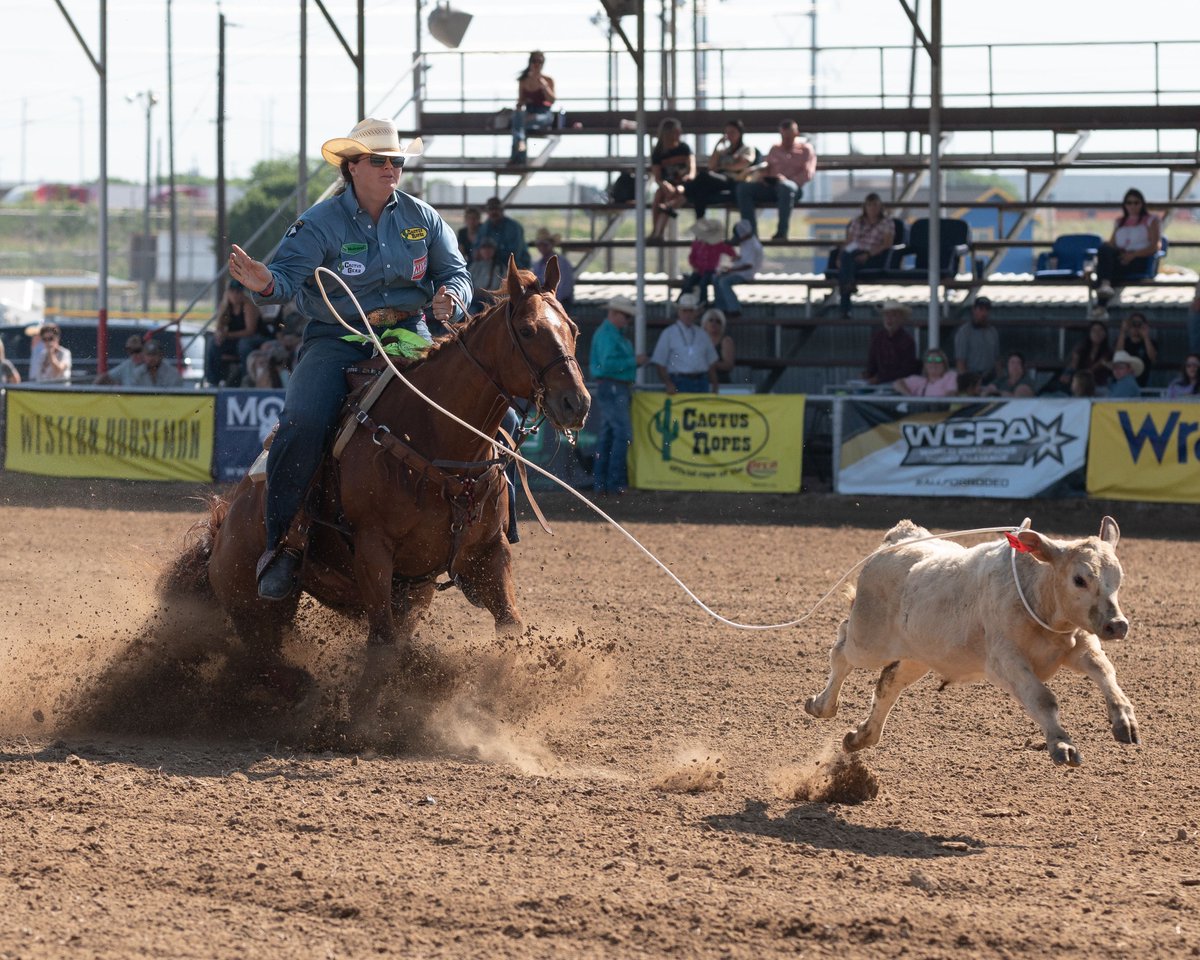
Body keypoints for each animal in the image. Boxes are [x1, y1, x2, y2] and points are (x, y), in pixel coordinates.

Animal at [804, 517, 1139, 767]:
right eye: (1079, 579)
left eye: (1118, 577)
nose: (1116, 625)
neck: (1036, 594)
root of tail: (899, 537)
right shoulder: (1006, 663)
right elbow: (1042, 698)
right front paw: (1062, 745)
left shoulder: (1080, 644)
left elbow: (1103, 671)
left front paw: (1124, 720)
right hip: (868, 640)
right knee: (842, 650)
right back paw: (822, 705)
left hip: (919, 656)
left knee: (889, 683)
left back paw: (861, 736)